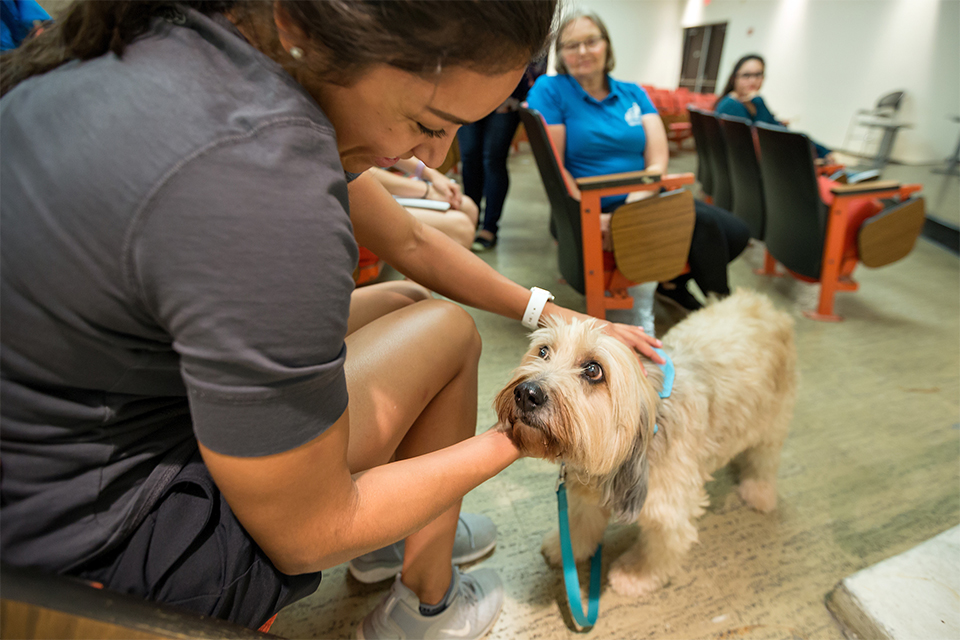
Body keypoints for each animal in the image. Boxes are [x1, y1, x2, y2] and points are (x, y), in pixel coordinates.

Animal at [496, 288, 796, 596]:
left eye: (593, 370)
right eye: (543, 351)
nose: (526, 393)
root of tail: (758, 300)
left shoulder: (669, 512)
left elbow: (659, 550)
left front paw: (635, 575)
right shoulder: (584, 497)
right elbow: (580, 525)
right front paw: (565, 549)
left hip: (772, 421)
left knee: (764, 459)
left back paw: (759, 492)